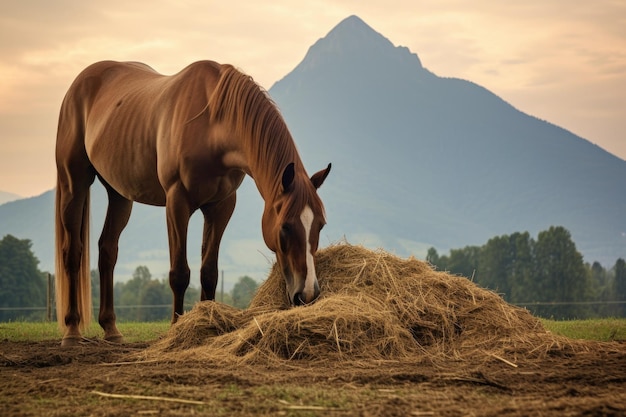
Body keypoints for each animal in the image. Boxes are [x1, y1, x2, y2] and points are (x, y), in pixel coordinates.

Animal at [53, 60, 332, 346]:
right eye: (285, 226)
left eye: (320, 225)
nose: (307, 293)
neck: (213, 125)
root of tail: (80, 83)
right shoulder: (177, 202)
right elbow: (179, 273)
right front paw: (176, 329)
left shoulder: (221, 206)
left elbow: (209, 273)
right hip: (73, 183)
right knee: (72, 252)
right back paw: (72, 331)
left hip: (119, 194)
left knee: (107, 251)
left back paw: (111, 329)